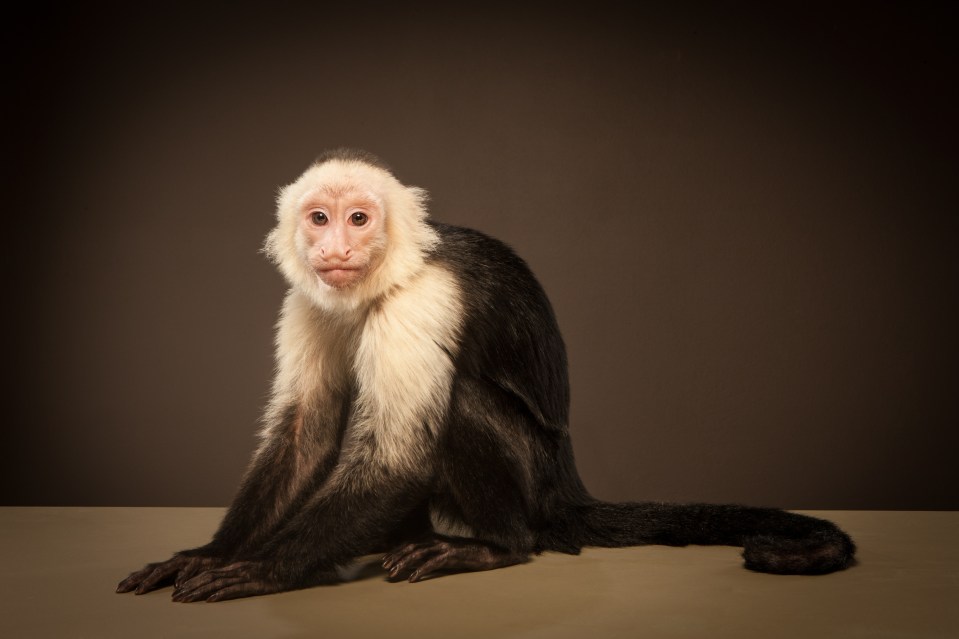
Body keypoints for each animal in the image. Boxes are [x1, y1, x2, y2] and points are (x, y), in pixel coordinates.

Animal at [116, 150, 860, 604]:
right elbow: (303, 435)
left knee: (461, 406)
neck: (382, 279)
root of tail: (565, 489)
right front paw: (207, 551)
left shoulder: (423, 299)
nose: (336, 247)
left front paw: (259, 567)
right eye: (319, 218)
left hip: (532, 484)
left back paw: (495, 547)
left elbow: (396, 458)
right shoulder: (306, 300)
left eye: (359, 217)